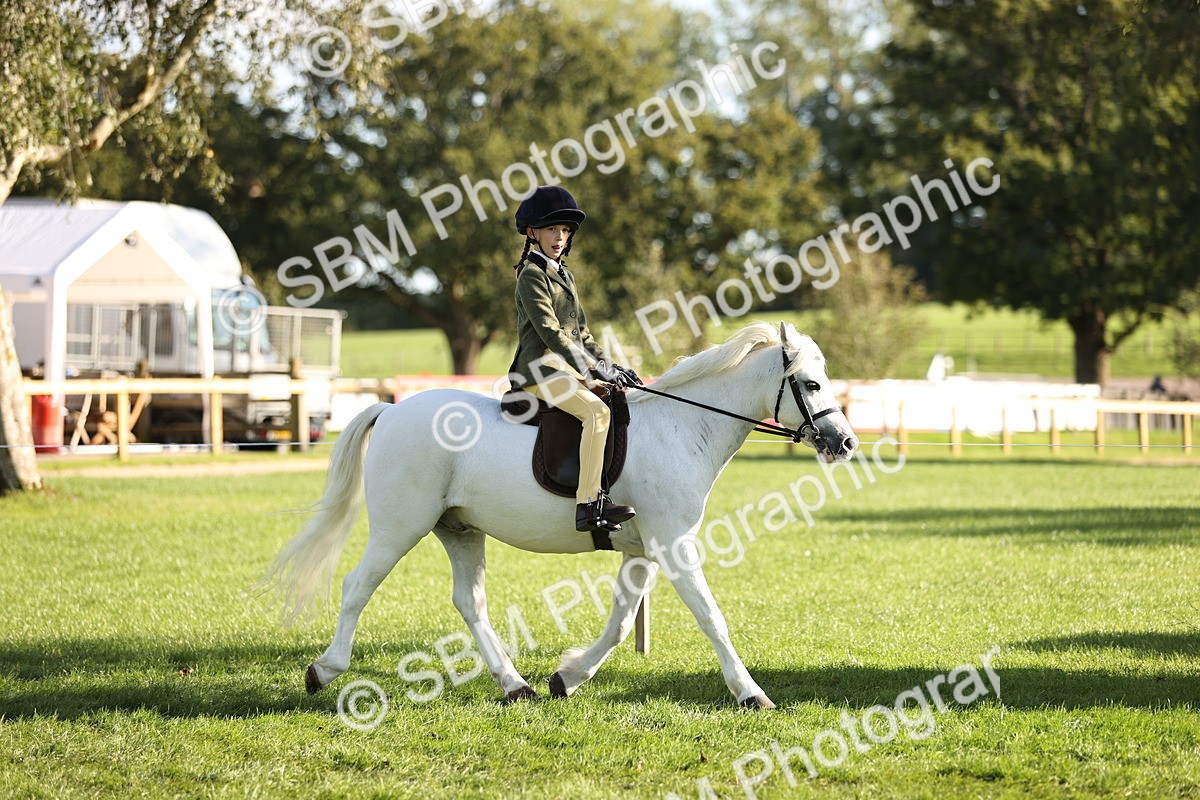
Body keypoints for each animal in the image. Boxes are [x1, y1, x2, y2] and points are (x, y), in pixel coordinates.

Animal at [266, 321, 859, 708]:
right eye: (810, 384)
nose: (845, 442)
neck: (683, 426)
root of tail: (390, 410)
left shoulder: (644, 550)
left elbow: (620, 622)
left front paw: (567, 677)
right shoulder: (673, 543)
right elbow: (711, 616)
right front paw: (751, 693)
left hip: (459, 530)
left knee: (470, 602)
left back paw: (516, 686)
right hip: (400, 527)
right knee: (356, 586)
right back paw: (324, 670)